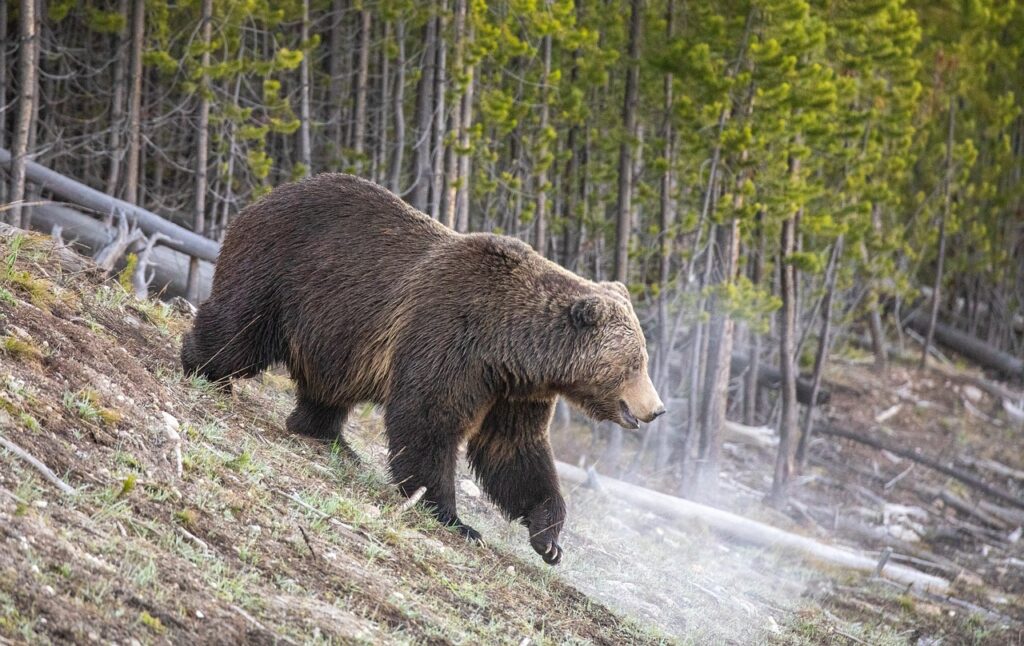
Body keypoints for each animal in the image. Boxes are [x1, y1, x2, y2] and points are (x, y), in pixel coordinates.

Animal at [182, 174, 663, 565]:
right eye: (636, 362)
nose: (656, 409)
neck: (513, 346)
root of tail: (265, 196)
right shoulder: (452, 339)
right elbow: (428, 419)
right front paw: (455, 518)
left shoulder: (512, 390)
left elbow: (514, 450)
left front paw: (549, 536)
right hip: (283, 270)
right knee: (241, 328)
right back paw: (203, 367)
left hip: (336, 332)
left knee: (328, 386)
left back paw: (330, 437)